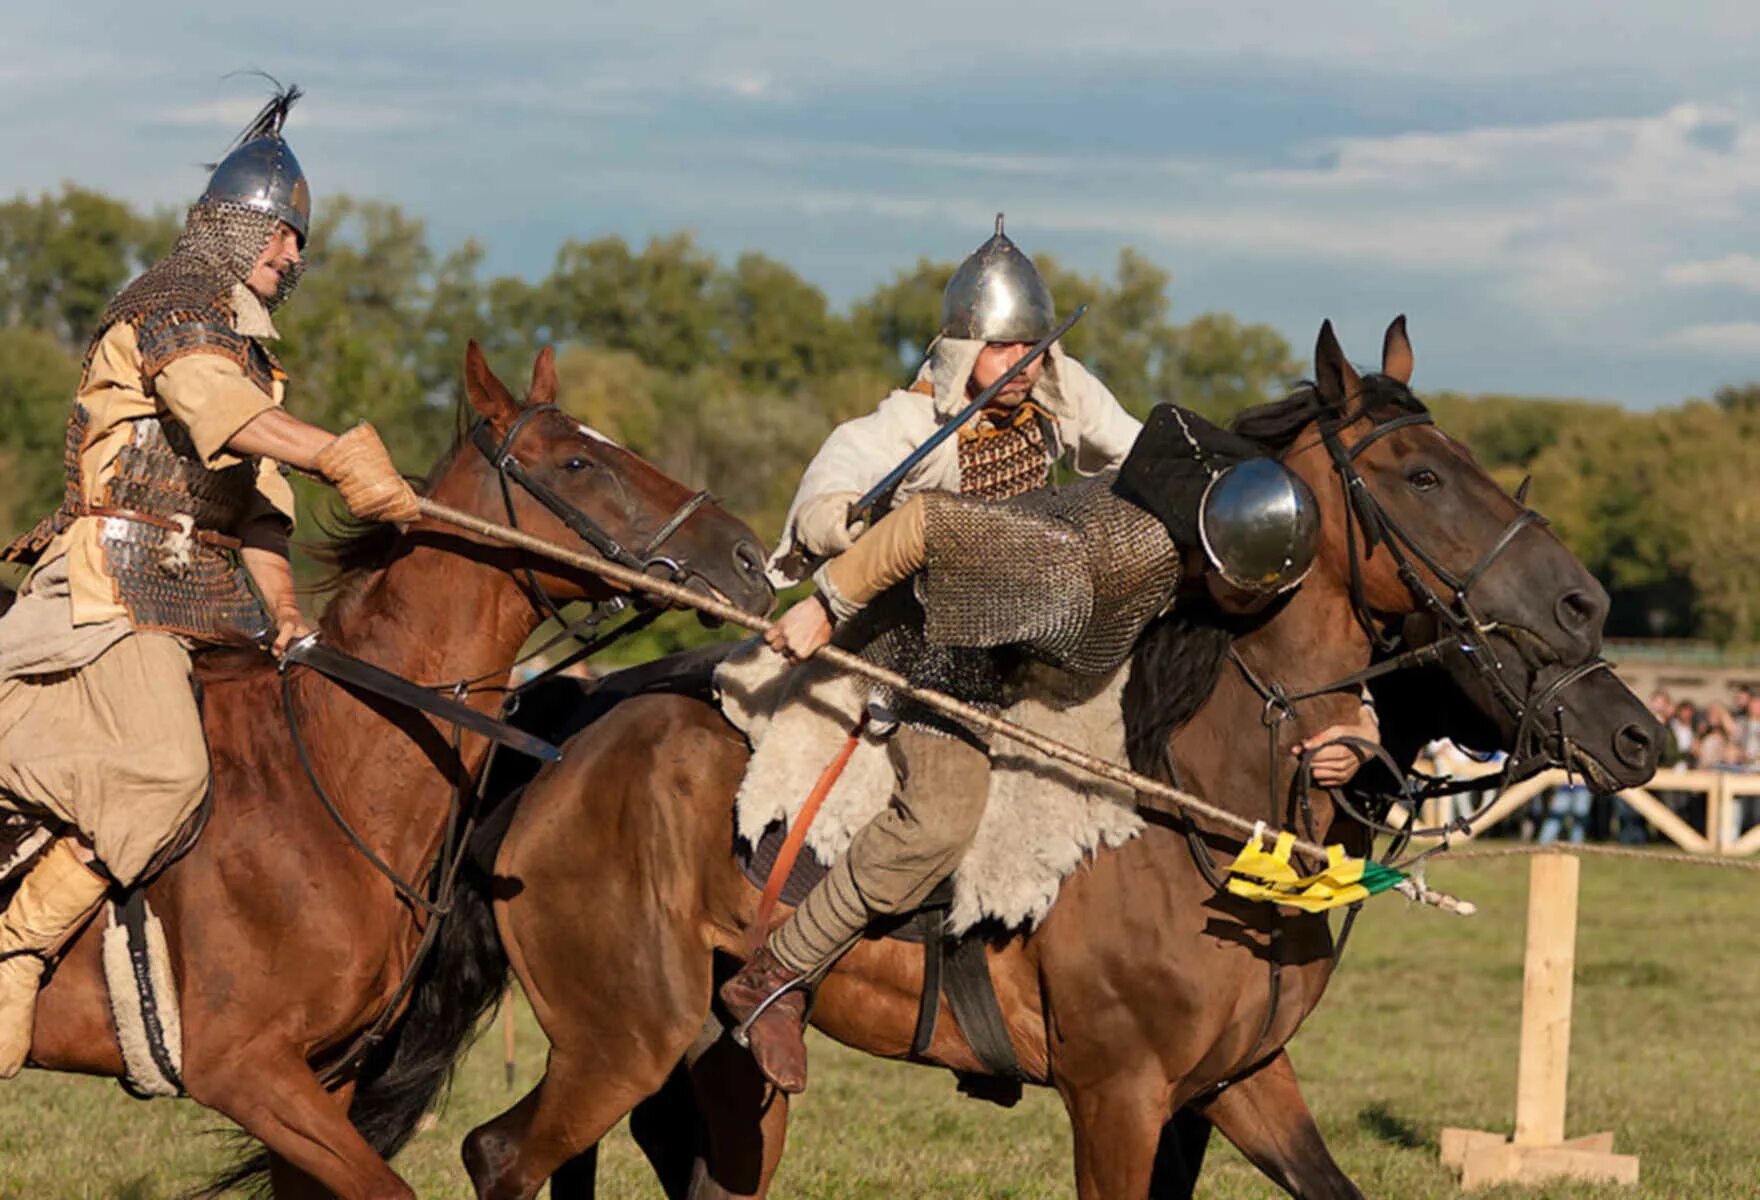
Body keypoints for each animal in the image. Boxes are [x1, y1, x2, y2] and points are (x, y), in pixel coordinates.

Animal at [364, 318, 1626, 1196]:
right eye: (1423, 475)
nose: (1584, 608)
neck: (1191, 795)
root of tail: (564, 737)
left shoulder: (1235, 1087)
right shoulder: (1118, 1097)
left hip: (700, 1063)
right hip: (624, 1033)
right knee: (498, 1155)